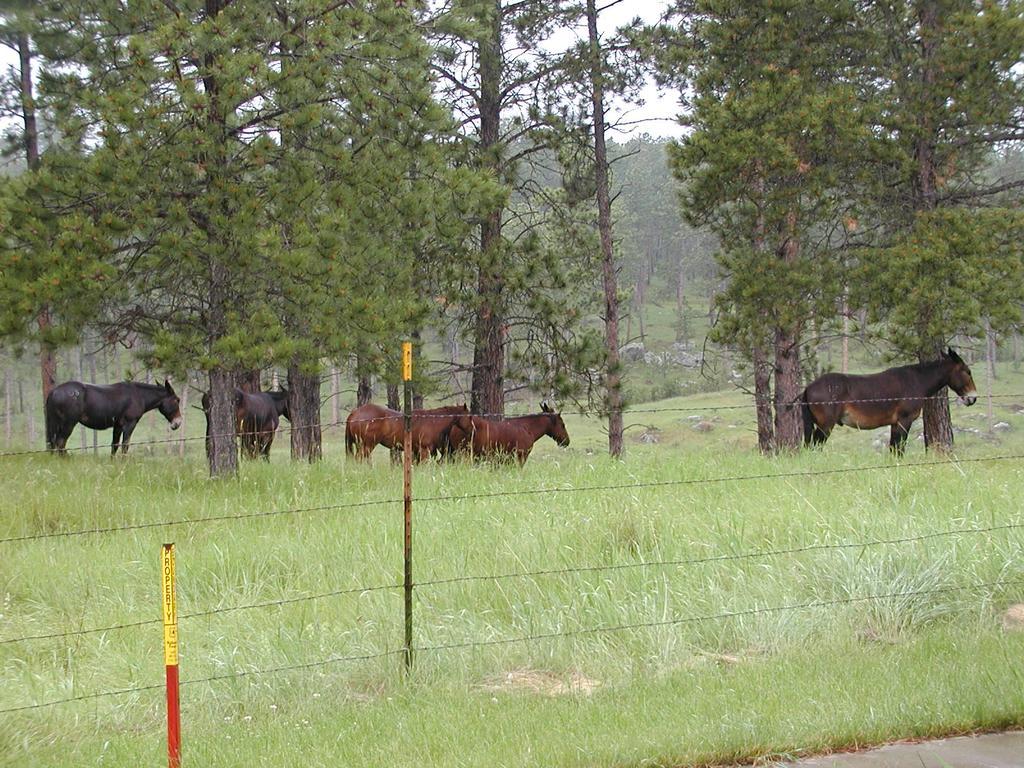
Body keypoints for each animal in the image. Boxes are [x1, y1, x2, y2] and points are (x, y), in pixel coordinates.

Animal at [45, 380, 183, 456]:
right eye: (177, 400)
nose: (178, 422)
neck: (140, 396)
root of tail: (53, 392)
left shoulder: (118, 425)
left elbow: (114, 445)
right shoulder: (130, 423)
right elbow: (125, 445)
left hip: (55, 423)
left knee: (53, 443)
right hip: (69, 423)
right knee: (60, 442)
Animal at [798, 350, 974, 454]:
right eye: (967, 371)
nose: (972, 398)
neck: (916, 381)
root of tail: (809, 387)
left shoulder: (895, 424)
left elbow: (894, 449)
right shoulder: (904, 421)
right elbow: (899, 449)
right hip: (825, 425)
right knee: (815, 446)